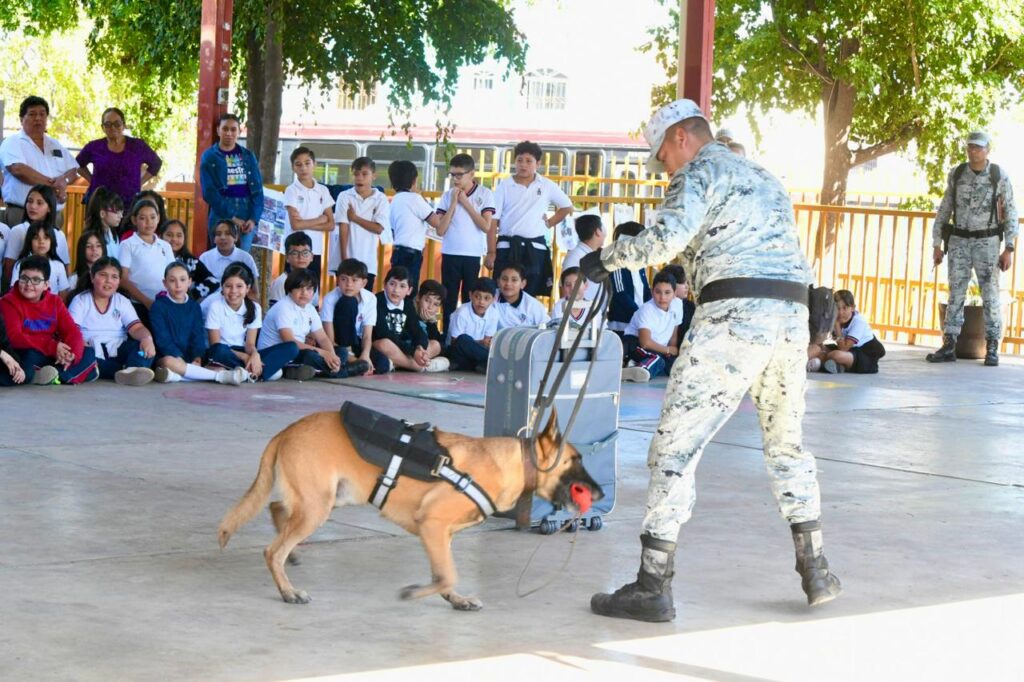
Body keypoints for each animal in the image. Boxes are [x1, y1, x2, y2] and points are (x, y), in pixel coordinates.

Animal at [216, 405, 598, 606]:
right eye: (576, 460)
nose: (599, 493)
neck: (516, 462)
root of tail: (288, 430)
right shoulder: (433, 525)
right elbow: (446, 574)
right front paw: (418, 592)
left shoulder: (440, 535)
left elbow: (443, 573)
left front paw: (454, 599)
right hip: (317, 507)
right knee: (272, 550)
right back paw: (287, 589)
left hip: (324, 501)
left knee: (277, 510)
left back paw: (292, 555)